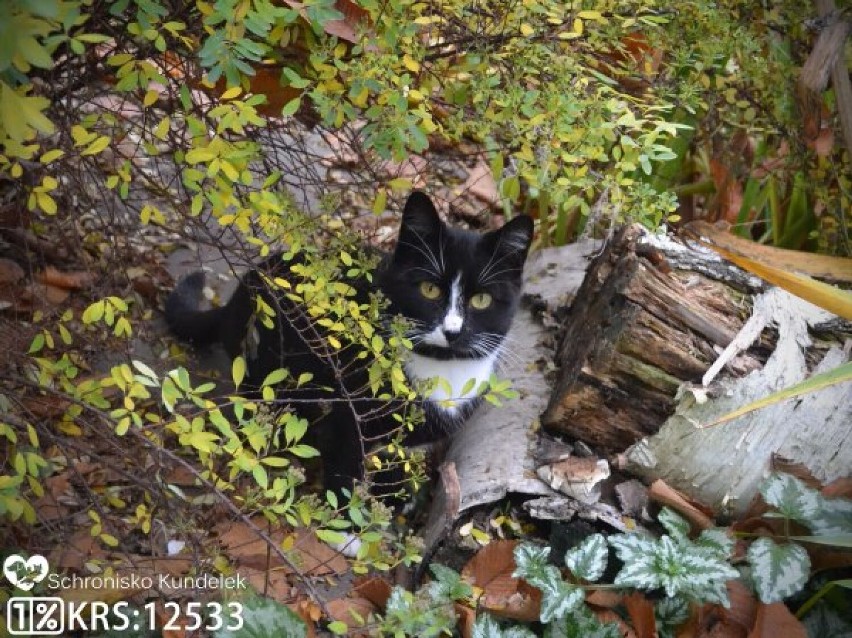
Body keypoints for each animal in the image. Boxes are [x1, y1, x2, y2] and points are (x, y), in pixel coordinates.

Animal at [166, 192, 532, 502]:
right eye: (429, 289)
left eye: (482, 299)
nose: (452, 331)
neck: (442, 366)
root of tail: (236, 298)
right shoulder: (348, 410)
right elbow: (346, 462)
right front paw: (347, 527)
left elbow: (395, 463)